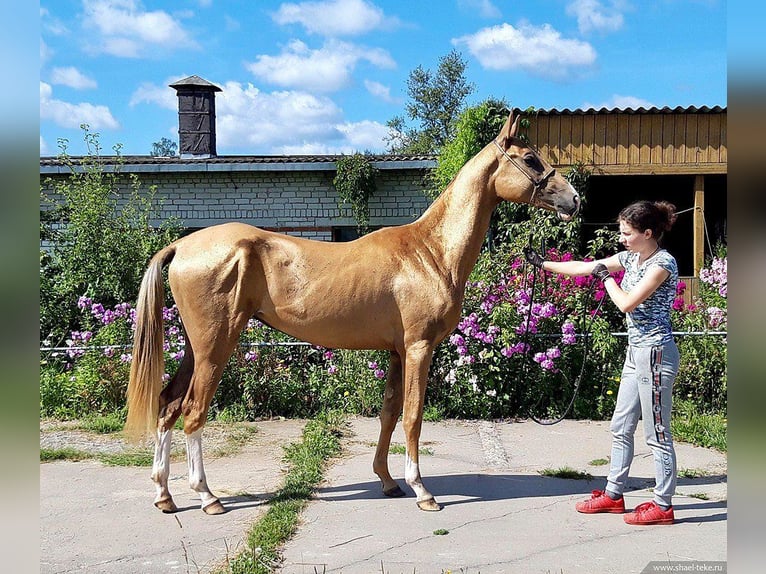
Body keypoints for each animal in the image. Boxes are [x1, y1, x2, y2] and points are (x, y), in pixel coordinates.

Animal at [127, 110, 584, 516]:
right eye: (531, 159)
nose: (574, 199)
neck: (430, 252)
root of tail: (181, 246)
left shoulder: (397, 352)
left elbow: (388, 413)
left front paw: (388, 481)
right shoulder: (419, 348)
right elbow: (413, 416)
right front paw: (422, 491)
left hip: (196, 346)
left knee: (168, 405)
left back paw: (164, 496)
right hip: (214, 347)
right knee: (192, 412)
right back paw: (207, 497)